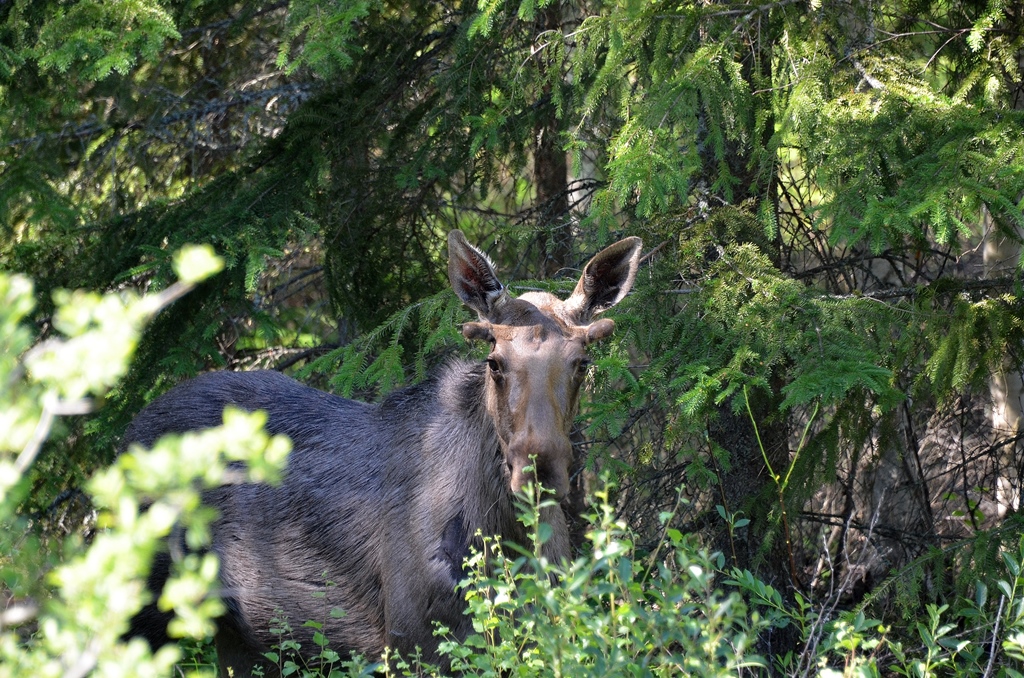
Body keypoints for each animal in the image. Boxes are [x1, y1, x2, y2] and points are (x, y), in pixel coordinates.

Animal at [125, 231, 638, 675]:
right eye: (495, 362)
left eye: (582, 362)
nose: (537, 469)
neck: (505, 536)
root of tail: (126, 434)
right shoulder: (413, 645)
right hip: (143, 606)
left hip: (242, 636)